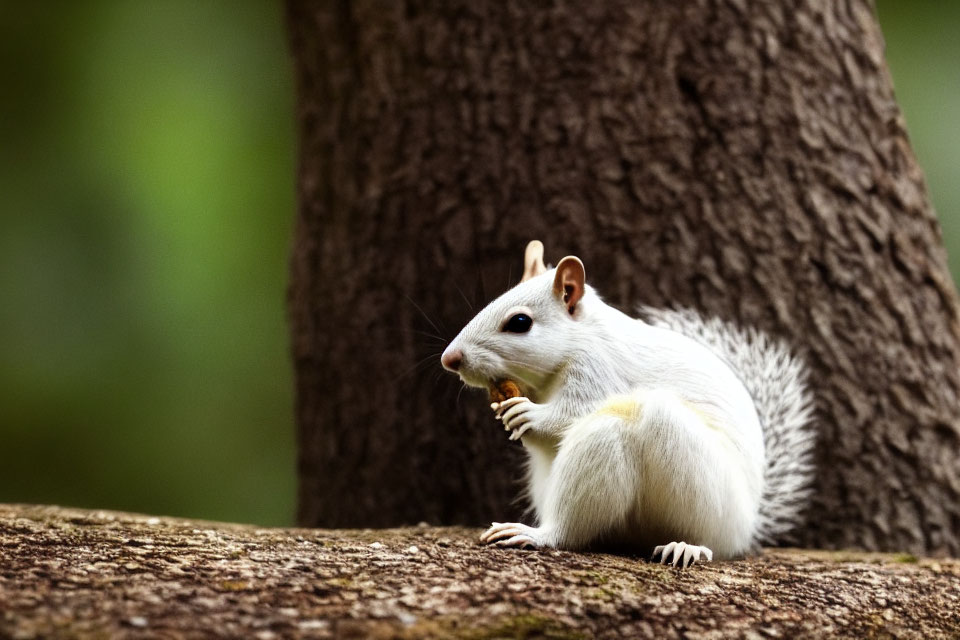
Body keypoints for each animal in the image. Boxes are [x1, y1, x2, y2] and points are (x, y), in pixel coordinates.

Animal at [438, 239, 812, 564]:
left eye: (520, 322)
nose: (449, 359)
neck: (580, 337)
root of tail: (748, 524)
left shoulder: (598, 370)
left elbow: (569, 415)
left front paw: (529, 414)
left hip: (700, 488)